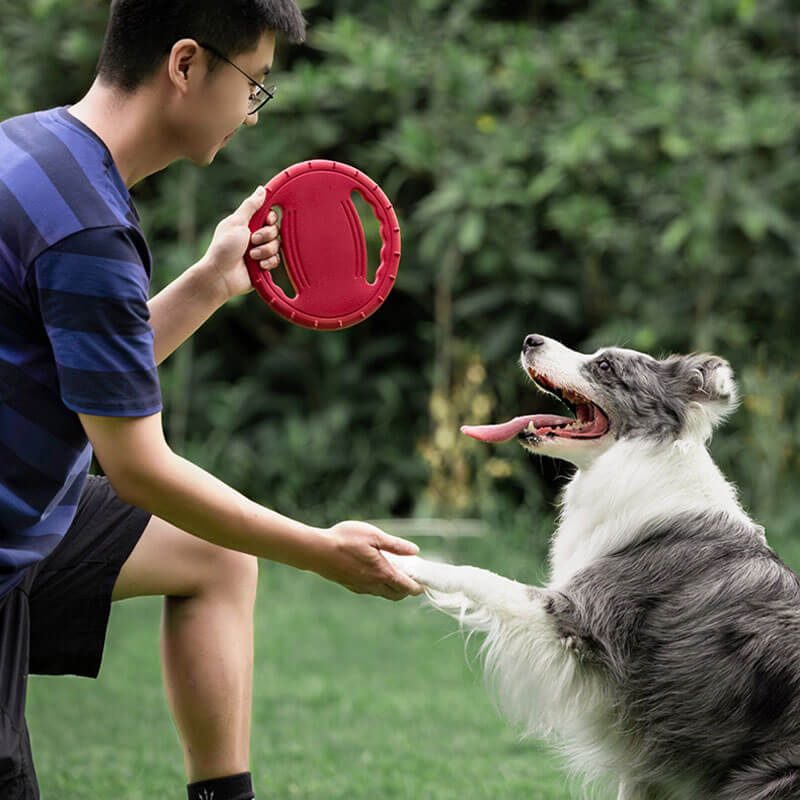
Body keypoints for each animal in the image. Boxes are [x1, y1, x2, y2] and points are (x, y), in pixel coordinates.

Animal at [382, 332, 800, 800]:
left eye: (605, 367)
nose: (530, 339)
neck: (636, 459)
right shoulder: (647, 761)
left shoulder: (579, 619)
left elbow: (480, 575)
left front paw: (401, 559)